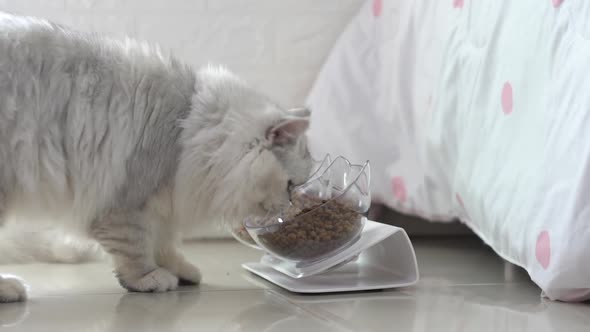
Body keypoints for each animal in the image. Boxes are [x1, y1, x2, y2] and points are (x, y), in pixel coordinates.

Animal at [0, 13, 314, 302]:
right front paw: (147, 278)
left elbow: (164, 244)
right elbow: (135, 248)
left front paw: (182, 271)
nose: (288, 210)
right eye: (290, 186)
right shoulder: (127, 201)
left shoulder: (163, 205)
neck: (190, 127)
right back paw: (10, 288)